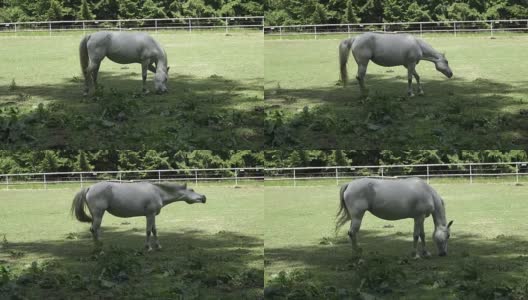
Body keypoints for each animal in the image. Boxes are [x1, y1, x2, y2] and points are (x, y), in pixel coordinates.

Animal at [73, 180, 205, 251]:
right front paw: (148, 247)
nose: (204, 197)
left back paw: (97, 247)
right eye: (192, 190)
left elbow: (154, 230)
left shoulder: (153, 215)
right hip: (98, 214)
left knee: (94, 230)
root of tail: (90, 187)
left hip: (96, 215)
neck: (158, 192)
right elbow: (148, 231)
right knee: (95, 229)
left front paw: (158, 246)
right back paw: (100, 249)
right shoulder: (150, 215)